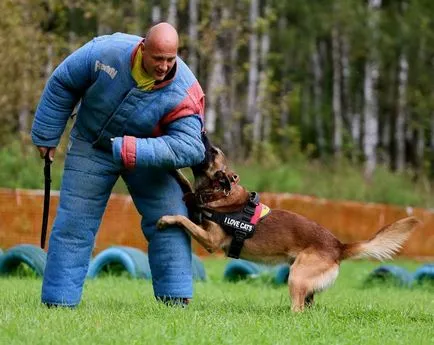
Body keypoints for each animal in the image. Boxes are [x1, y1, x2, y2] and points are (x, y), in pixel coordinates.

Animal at [159, 137, 420, 312]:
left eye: (212, 151)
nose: (202, 131)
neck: (220, 193)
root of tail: (339, 246)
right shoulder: (198, 214)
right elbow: (185, 185)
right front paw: (174, 170)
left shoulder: (211, 241)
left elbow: (182, 218)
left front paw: (166, 219)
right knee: (308, 307)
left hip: (296, 277)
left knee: (298, 310)